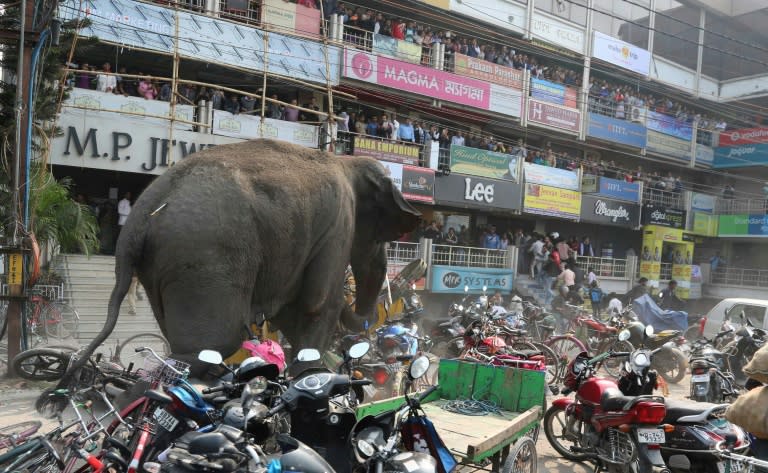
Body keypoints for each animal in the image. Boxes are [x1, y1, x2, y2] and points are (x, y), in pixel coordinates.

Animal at [49, 139, 420, 394]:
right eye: (380, 235)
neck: (346, 161)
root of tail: (144, 211)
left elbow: (292, 313)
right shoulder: (337, 227)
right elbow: (317, 305)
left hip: (160, 267)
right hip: (205, 256)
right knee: (212, 343)